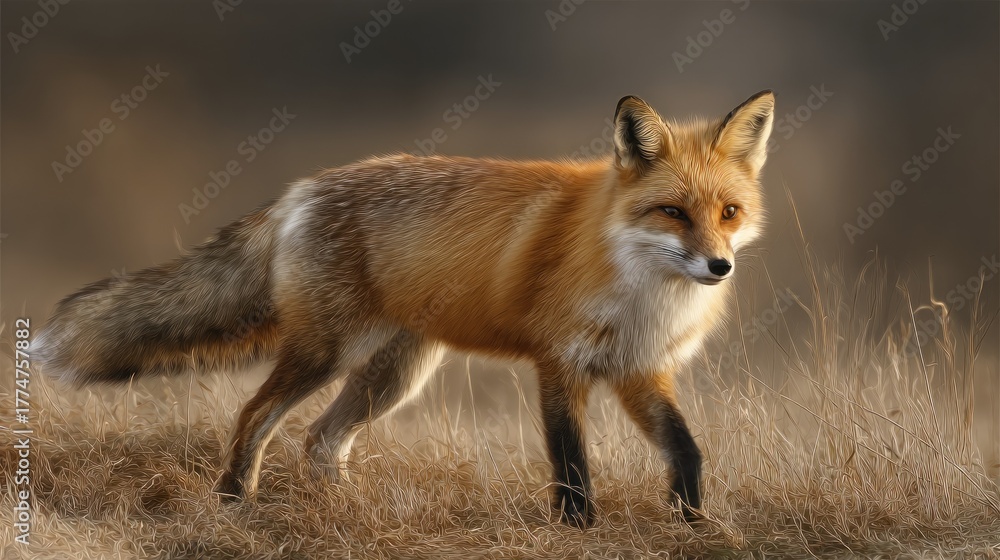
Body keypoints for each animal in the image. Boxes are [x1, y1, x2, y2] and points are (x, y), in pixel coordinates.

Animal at [36, 91, 775, 528]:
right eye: (673, 212)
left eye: (729, 213)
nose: (719, 267)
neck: (643, 290)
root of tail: (302, 188)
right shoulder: (558, 363)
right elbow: (570, 464)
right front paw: (577, 529)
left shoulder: (638, 370)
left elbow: (686, 449)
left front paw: (693, 522)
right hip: (327, 353)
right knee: (254, 415)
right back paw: (234, 503)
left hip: (396, 375)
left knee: (320, 439)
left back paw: (344, 509)